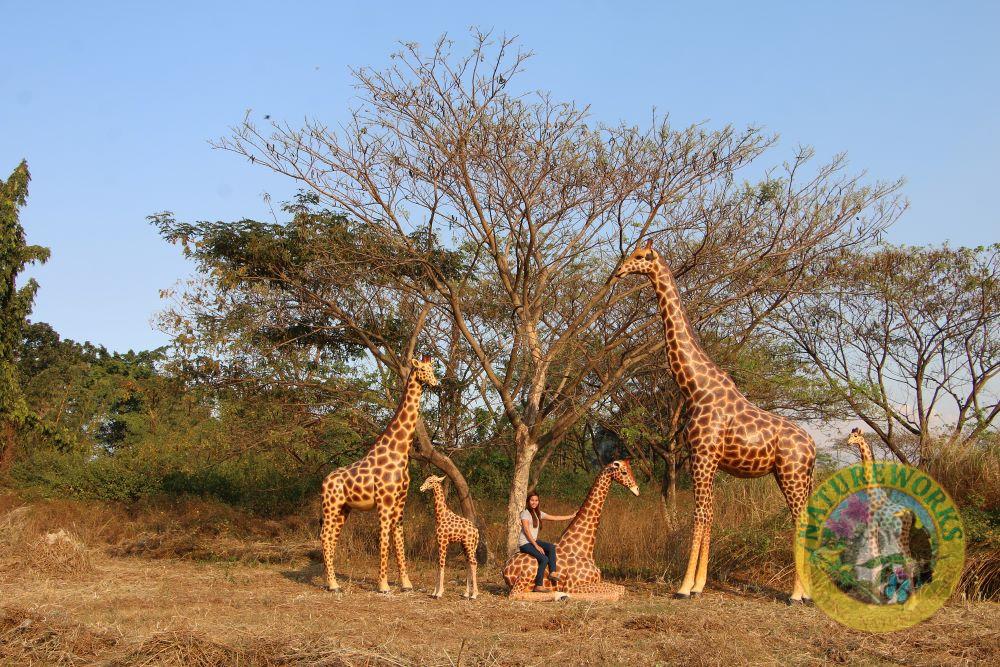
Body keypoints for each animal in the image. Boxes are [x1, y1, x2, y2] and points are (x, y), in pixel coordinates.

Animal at [319, 356, 439, 594]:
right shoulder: (384, 502)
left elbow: (398, 539)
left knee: (331, 538)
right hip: (331, 507)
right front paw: (383, 585)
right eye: (422, 369)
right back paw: (333, 584)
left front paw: (406, 583)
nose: (436, 382)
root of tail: (324, 481)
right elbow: (383, 539)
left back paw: (333, 582)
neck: (399, 451)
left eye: (433, 369)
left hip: (343, 509)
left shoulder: (400, 502)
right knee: (324, 536)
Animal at [502, 460, 639, 599]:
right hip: (525, 577)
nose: (637, 490)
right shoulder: (573, 585)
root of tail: (505, 569)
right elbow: (616, 592)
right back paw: (559, 595)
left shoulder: (597, 580)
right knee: (515, 595)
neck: (584, 550)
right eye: (624, 472)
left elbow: (622, 588)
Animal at [614, 240, 817, 601]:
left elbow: (700, 514)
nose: (619, 271)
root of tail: (813, 447)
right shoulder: (706, 460)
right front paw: (698, 585)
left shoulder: (703, 456)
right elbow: (709, 515)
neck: (695, 387)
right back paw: (805, 593)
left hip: (792, 474)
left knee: (801, 520)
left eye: (640, 256)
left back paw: (796, 595)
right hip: (793, 476)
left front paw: (684, 587)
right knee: (804, 519)